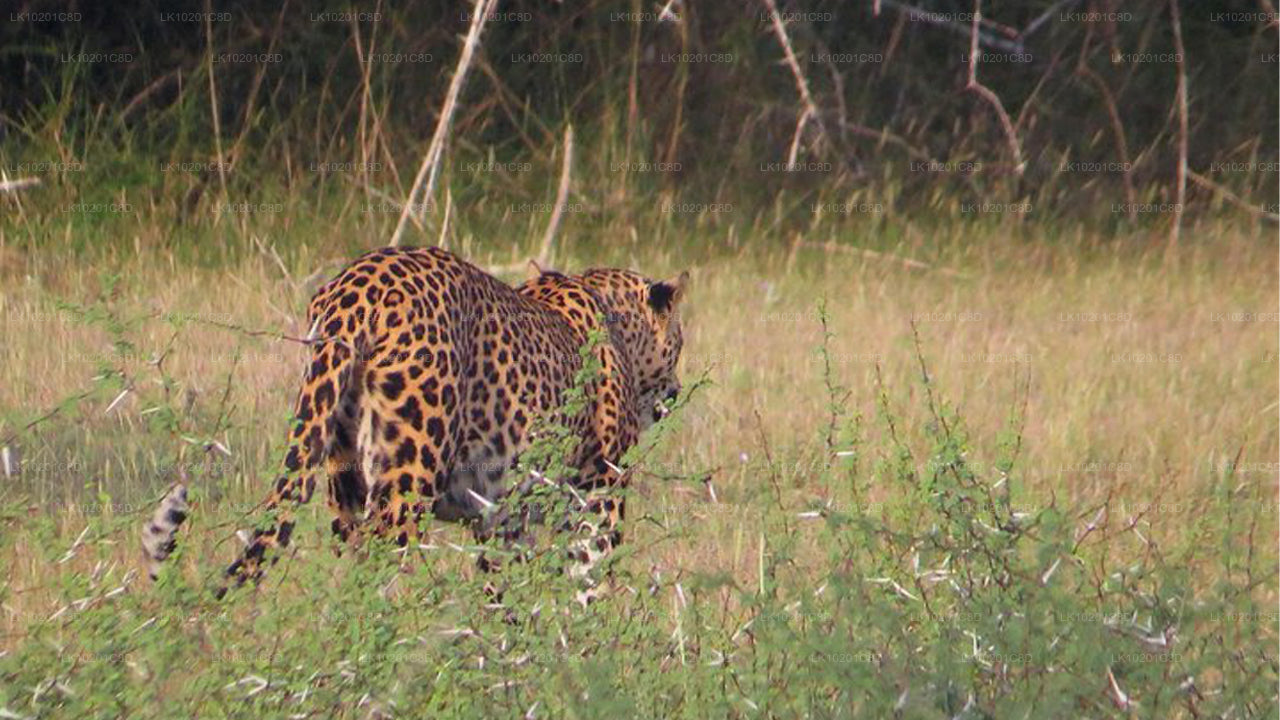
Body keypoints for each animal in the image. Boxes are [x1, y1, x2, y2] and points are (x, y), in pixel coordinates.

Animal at [142, 244, 691, 594]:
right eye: (681, 344)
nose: (675, 390)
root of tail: (354, 287)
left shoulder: (502, 520)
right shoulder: (602, 492)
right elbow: (591, 583)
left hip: (341, 471)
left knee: (350, 571)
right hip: (408, 475)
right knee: (380, 575)